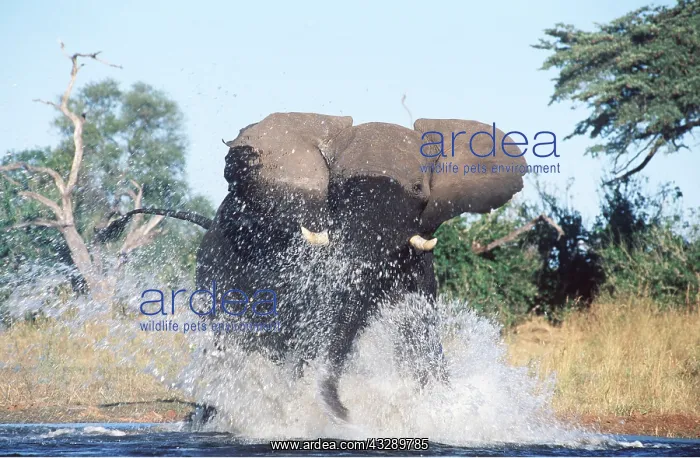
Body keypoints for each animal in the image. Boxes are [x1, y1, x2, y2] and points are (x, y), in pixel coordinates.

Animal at [98, 112, 526, 422]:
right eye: (336, 189)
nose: (345, 413)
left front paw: (437, 408)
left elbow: (417, 326)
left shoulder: (419, 258)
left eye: (419, 190)